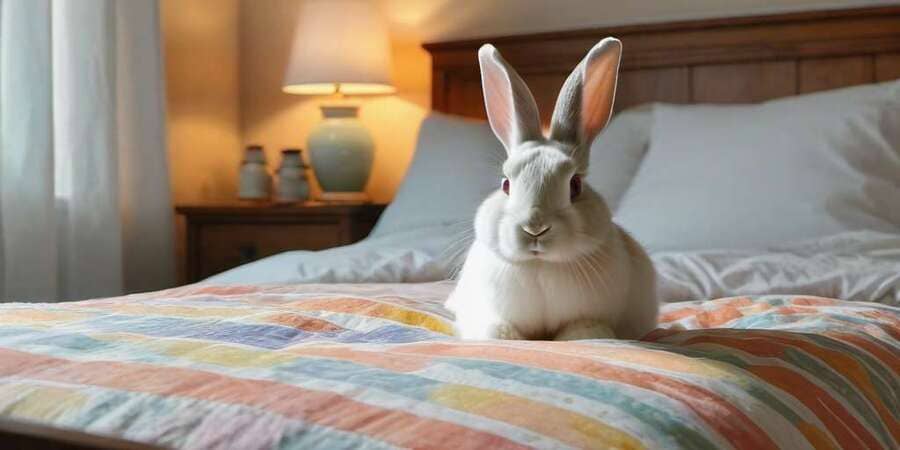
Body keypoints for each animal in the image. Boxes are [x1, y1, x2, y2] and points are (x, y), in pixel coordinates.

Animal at [444, 38, 657, 341]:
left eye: (575, 185)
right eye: (506, 184)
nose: (535, 228)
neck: (541, 264)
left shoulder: (589, 317)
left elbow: (585, 331)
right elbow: (498, 331)